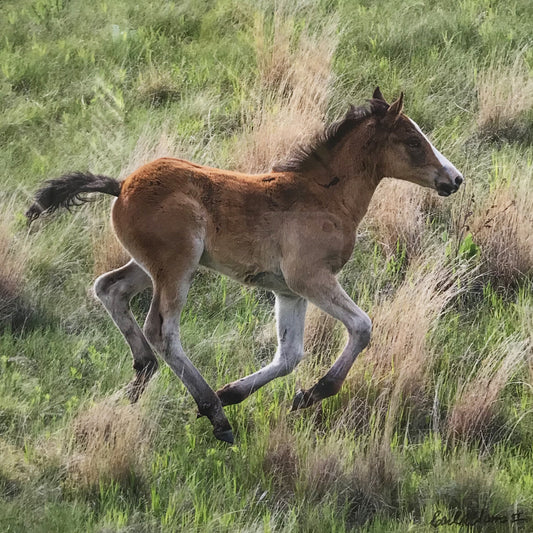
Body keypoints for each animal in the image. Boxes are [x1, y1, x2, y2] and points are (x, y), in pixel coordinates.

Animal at [26, 89, 462, 442]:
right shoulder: (310, 278)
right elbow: (361, 327)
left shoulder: (289, 290)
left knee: (109, 288)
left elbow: (289, 355)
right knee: (162, 330)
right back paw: (214, 414)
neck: (324, 196)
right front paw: (314, 392)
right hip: (177, 266)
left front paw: (238, 392)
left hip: (148, 265)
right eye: (413, 141)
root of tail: (122, 186)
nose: (454, 179)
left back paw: (144, 374)